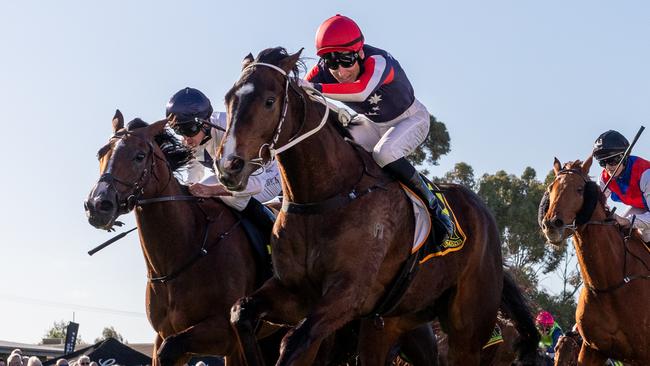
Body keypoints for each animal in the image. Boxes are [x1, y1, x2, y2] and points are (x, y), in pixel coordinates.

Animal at [85, 111, 280, 366]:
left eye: (139, 156)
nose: (98, 205)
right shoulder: (163, 333)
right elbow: (164, 350)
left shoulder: (226, 334)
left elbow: (170, 348)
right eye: (101, 152)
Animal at [213, 48, 536, 366]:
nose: (228, 166)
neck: (324, 197)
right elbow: (241, 313)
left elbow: (293, 342)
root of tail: (486, 218)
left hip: (466, 331)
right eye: (228, 98)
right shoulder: (293, 292)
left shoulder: (347, 295)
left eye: (269, 101)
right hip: (390, 322)